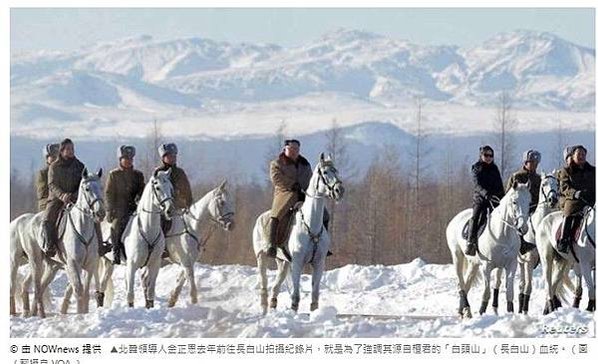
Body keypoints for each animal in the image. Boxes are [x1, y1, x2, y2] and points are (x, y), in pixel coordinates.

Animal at [9, 169, 105, 318]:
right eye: (87, 189)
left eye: (101, 187)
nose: (100, 213)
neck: (82, 228)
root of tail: (24, 221)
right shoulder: (73, 264)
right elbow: (78, 290)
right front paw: (79, 315)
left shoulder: (90, 265)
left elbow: (85, 291)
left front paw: (84, 313)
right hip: (27, 261)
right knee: (28, 286)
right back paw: (29, 313)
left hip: (50, 267)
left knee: (37, 287)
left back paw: (32, 312)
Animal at [123, 168, 176, 308]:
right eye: (157, 187)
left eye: (171, 188)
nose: (170, 210)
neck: (148, 230)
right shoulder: (132, 265)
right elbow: (130, 294)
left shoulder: (154, 264)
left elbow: (151, 291)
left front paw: (150, 306)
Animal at [253, 153, 346, 312]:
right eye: (325, 172)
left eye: (336, 171)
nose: (339, 190)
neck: (311, 225)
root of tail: (261, 217)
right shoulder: (297, 262)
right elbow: (295, 296)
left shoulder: (319, 263)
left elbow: (315, 295)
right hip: (262, 258)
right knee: (264, 285)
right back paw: (264, 310)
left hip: (283, 263)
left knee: (275, 287)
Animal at [448, 182, 532, 318]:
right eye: (514, 202)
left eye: (529, 202)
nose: (523, 228)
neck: (503, 233)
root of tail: (455, 218)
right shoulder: (487, 267)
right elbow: (486, 292)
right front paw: (482, 312)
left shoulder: (511, 265)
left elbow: (509, 292)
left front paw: (510, 313)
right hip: (457, 256)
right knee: (460, 283)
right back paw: (466, 309)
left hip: (474, 264)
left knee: (466, 284)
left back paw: (464, 311)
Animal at [492, 172, 564, 314]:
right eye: (544, 184)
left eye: (557, 184)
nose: (552, 200)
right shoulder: (530, 262)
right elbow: (529, 287)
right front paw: (525, 311)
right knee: (498, 283)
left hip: (521, 264)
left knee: (521, 285)